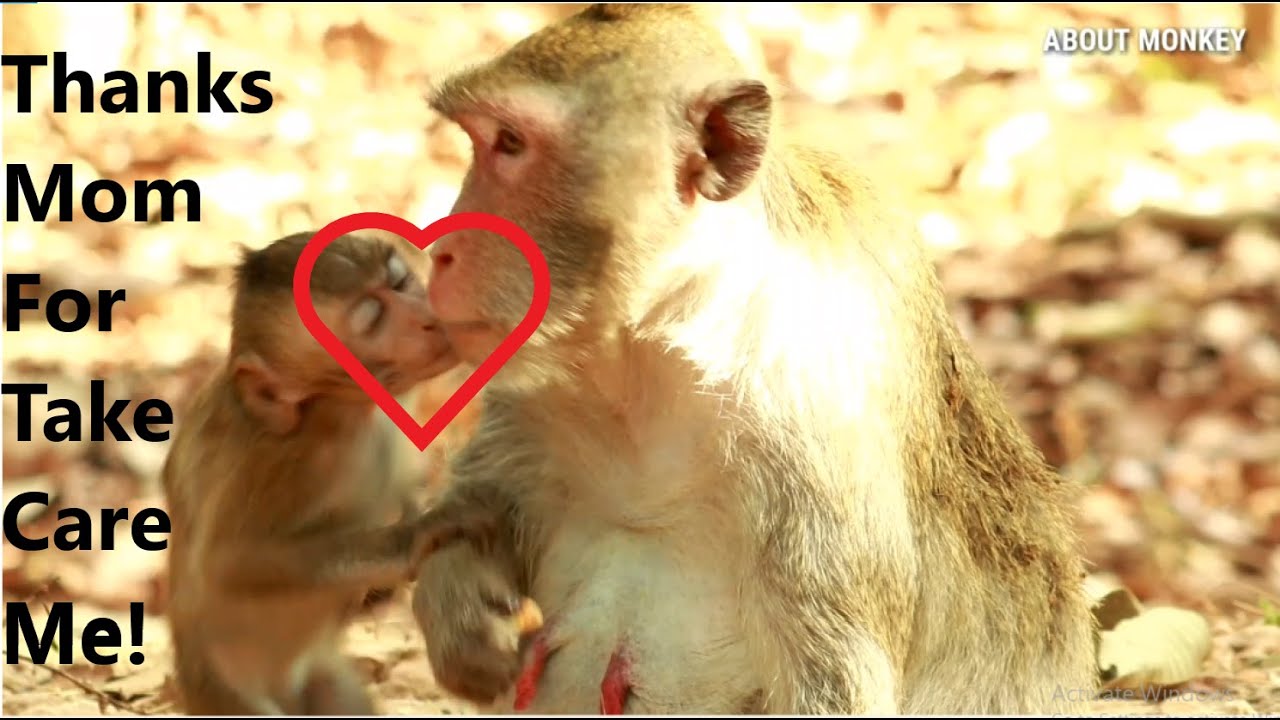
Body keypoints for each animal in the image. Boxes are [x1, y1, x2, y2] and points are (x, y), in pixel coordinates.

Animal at [161, 231, 489, 715]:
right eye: (372, 319)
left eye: (398, 281)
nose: (429, 318)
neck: (344, 411)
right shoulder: (284, 463)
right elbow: (231, 563)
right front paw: (412, 537)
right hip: (224, 694)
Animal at [411, 3, 1097, 715]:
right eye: (482, 140)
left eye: (510, 143)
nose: (443, 249)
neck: (653, 353)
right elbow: (481, 504)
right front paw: (466, 614)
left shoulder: (812, 429)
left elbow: (833, 686)